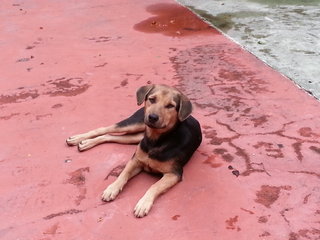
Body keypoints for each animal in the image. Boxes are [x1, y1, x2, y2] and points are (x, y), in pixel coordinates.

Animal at [66, 84, 201, 218]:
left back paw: (86, 143)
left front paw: (143, 203)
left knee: (110, 136)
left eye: (170, 106)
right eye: (152, 99)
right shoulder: (136, 160)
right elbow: (123, 174)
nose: (152, 117)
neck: (156, 140)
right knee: (105, 129)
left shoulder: (174, 174)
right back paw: (78, 138)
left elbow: (154, 186)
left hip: (135, 137)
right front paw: (112, 188)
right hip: (135, 123)